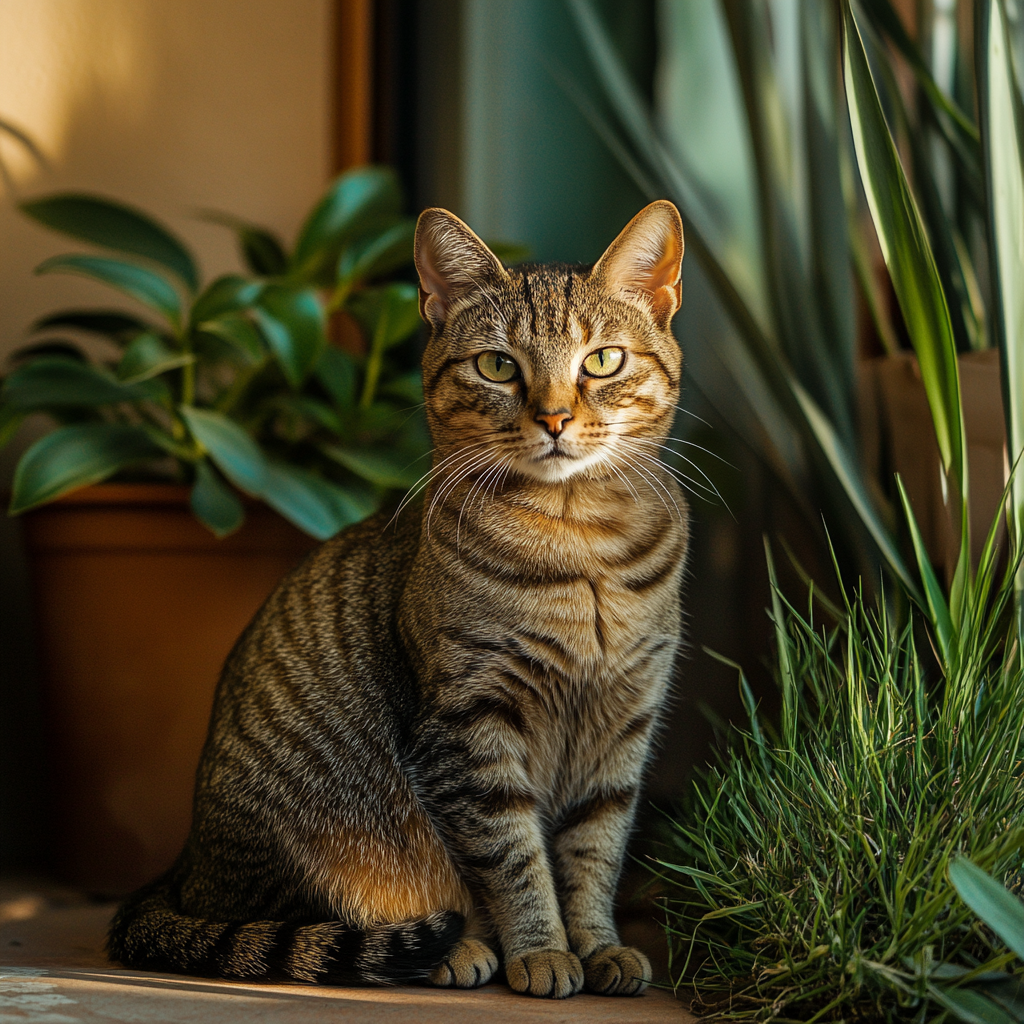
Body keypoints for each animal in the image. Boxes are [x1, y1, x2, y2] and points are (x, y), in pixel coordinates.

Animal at [105, 197, 688, 999]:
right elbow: (514, 859)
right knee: (314, 928)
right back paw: (452, 949)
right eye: (498, 365)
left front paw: (599, 945)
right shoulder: (470, 725)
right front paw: (541, 950)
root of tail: (186, 864)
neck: (580, 545)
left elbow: (593, 854)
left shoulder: (623, 727)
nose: (554, 418)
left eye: (602, 360)